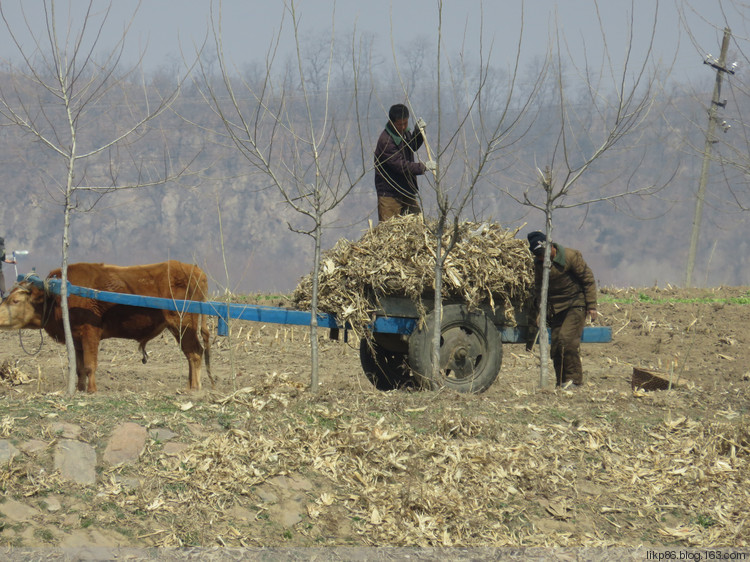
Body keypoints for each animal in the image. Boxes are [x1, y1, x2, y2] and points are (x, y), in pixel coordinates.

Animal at [0, 260, 212, 392]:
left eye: (16, 300)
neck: (59, 295)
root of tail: (196, 271)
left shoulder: (90, 333)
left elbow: (89, 365)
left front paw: (92, 391)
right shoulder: (76, 339)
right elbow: (79, 368)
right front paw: (80, 389)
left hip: (182, 324)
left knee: (194, 353)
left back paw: (194, 389)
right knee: (193, 354)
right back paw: (189, 386)